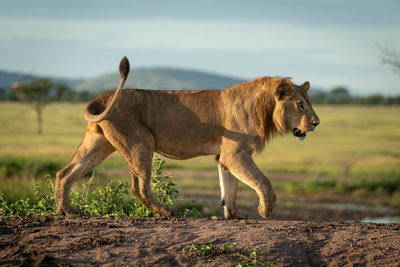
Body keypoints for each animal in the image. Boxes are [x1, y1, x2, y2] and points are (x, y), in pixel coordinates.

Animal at [54, 57, 320, 219]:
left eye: (309, 103)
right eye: (300, 105)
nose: (316, 123)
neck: (263, 108)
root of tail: (106, 97)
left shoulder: (225, 157)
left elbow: (229, 189)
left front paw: (234, 214)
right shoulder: (236, 154)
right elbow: (262, 181)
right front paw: (265, 210)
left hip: (97, 144)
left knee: (65, 173)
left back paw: (66, 210)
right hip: (141, 142)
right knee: (139, 186)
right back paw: (166, 212)